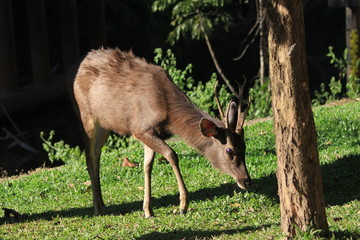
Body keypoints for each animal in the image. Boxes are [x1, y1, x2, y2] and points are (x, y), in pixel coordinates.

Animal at [73, 47, 250, 217]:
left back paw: (102, 204)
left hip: (105, 124)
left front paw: (147, 210)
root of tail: (80, 67)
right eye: (229, 150)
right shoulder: (140, 129)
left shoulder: (151, 133)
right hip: (86, 115)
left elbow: (147, 166)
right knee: (90, 157)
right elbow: (172, 154)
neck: (168, 111)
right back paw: (97, 209)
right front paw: (183, 206)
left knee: (96, 155)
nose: (246, 181)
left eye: (244, 147)